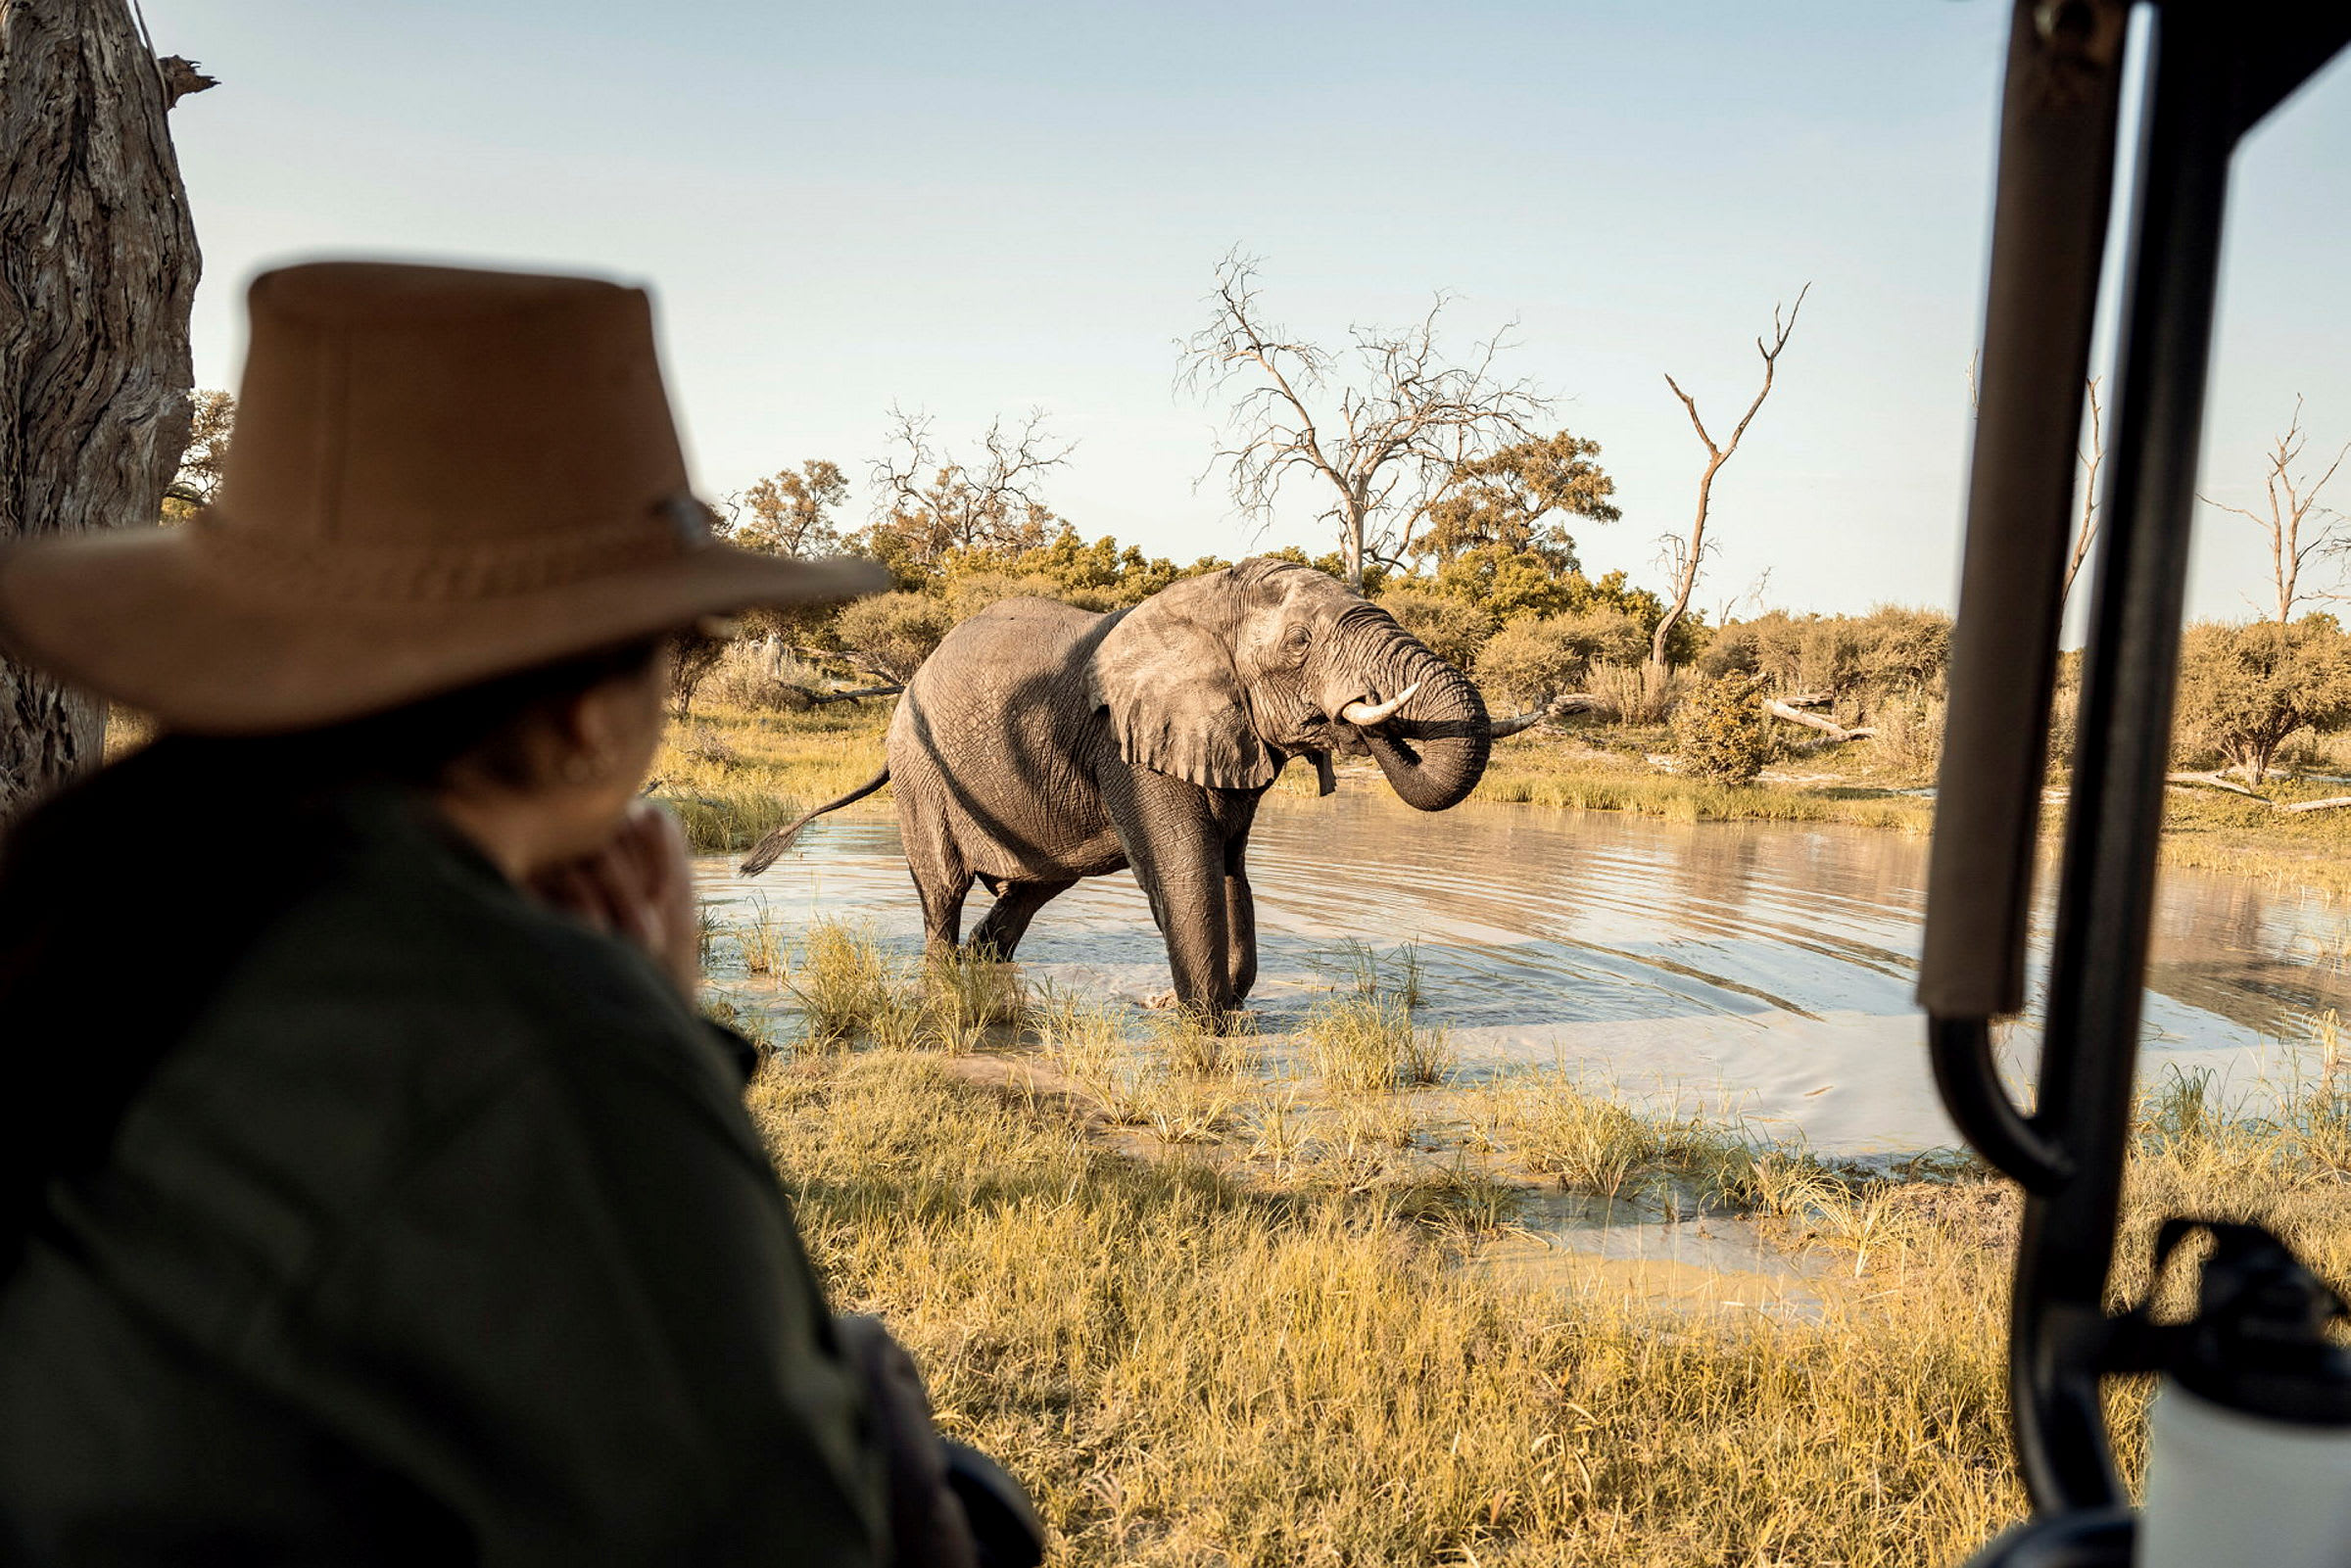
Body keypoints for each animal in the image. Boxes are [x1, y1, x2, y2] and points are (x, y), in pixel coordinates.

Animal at [740, 557, 1537, 1019]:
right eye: (1300, 644)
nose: (1368, 717)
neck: (1208, 600)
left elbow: (1230, 870)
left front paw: (1222, 1010)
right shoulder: (1126, 744)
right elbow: (1185, 871)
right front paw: (1198, 1020)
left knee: (1025, 896)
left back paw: (981, 972)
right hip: (920, 773)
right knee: (943, 891)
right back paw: (944, 985)